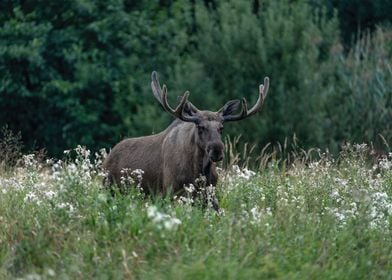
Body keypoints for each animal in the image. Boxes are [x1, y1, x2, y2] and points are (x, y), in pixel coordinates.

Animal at [102, 71, 270, 211]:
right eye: (200, 127)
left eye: (221, 128)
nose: (217, 150)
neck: (199, 171)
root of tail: (107, 158)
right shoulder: (170, 191)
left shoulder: (210, 193)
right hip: (109, 188)